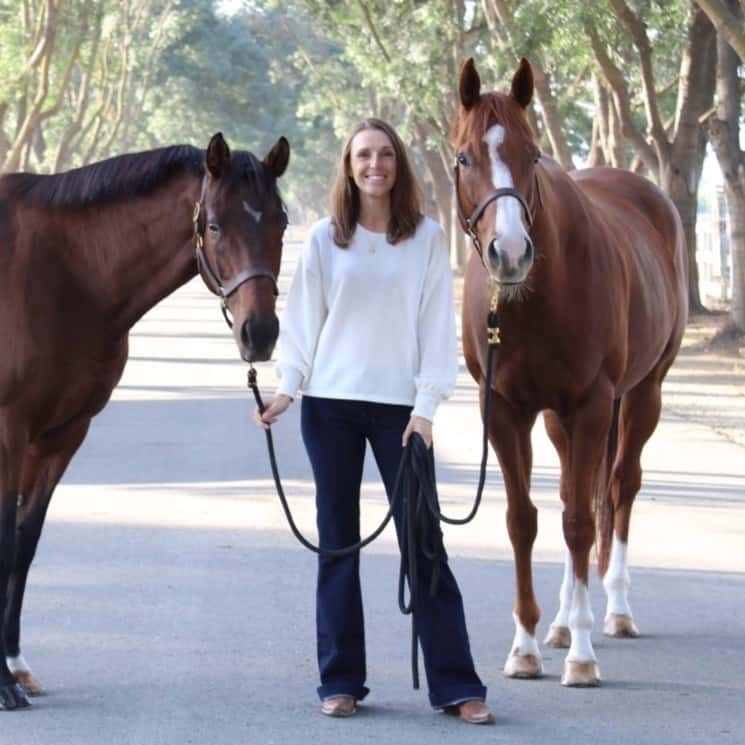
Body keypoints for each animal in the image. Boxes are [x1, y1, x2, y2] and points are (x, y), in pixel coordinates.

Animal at [0, 132, 288, 708]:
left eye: (282, 223)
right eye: (215, 225)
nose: (260, 333)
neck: (62, 271)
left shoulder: (60, 435)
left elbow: (24, 542)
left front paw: (15, 666)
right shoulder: (8, 431)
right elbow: (1, 543)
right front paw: (2, 685)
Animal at [448, 58, 684, 684]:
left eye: (533, 155)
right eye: (464, 157)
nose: (510, 253)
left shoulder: (593, 405)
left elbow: (581, 520)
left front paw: (581, 656)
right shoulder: (505, 410)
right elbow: (523, 520)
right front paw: (526, 646)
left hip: (642, 394)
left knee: (619, 488)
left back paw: (615, 612)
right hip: (557, 419)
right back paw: (557, 622)